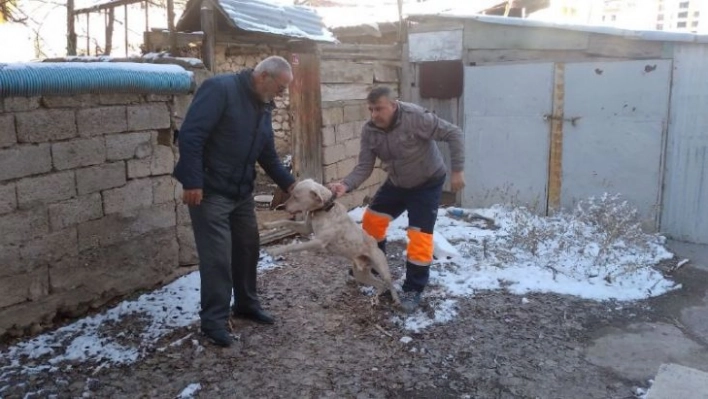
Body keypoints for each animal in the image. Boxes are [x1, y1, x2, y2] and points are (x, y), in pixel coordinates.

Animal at [262, 179, 402, 306]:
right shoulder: (306, 228)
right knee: (381, 285)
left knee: (389, 283)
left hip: (382, 268)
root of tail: (375, 244)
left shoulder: (318, 242)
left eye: (296, 197)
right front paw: (267, 225)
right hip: (360, 274)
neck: (324, 210)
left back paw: (396, 299)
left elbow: (294, 246)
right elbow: (285, 222)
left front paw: (275, 250)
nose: (282, 207)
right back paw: (375, 298)